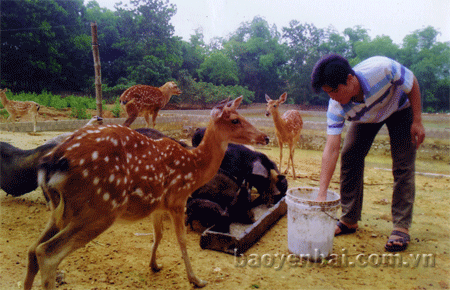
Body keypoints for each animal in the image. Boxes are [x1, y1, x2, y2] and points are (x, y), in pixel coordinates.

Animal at [23, 96, 268, 288]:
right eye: (235, 119)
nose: (265, 137)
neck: (194, 167)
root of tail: (51, 163)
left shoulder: (157, 205)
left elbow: (157, 235)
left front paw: (154, 265)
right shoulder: (177, 199)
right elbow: (181, 240)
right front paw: (196, 279)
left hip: (60, 210)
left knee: (32, 250)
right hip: (100, 208)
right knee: (47, 253)